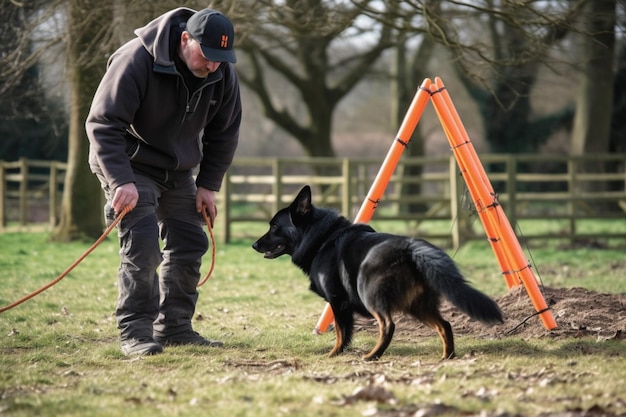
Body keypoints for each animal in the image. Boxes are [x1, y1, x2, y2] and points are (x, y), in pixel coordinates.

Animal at [251, 184, 500, 358]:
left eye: (274, 226)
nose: (253, 245)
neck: (322, 238)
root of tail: (411, 248)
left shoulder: (337, 301)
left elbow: (340, 332)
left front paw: (334, 354)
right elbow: (345, 332)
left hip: (370, 294)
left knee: (388, 326)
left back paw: (373, 355)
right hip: (418, 305)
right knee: (445, 325)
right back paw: (446, 356)